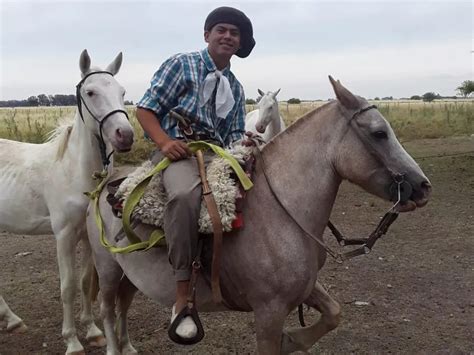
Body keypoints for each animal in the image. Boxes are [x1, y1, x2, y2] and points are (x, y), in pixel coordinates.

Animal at [0, 50, 133, 355]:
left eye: (122, 91)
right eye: (91, 92)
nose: (126, 135)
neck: (73, 170)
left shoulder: (88, 236)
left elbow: (84, 283)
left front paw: (93, 331)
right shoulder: (64, 235)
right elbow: (68, 286)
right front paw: (72, 341)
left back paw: (12, 320)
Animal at [85, 76, 430, 354]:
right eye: (379, 133)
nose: (423, 186)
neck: (280, 213)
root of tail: (107, 184)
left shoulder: (304, 289)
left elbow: (334, 313)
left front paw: (293, 340)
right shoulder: (269, 312)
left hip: (129, 276)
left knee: (122, 306)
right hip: (107, 269)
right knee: (106, 309)